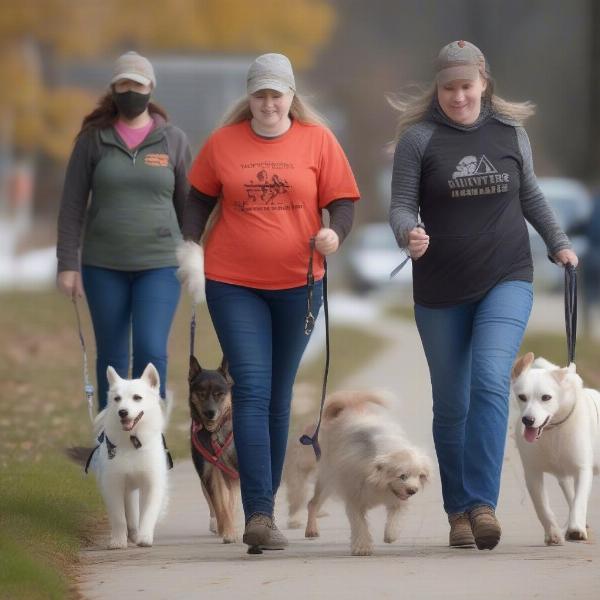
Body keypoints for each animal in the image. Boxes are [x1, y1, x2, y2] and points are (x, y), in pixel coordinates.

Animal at [91, 364, 172, 552]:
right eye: (117, 398)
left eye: (137, 397)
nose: (122, 412)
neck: (132, 441)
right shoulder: (113, 484)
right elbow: (119, 517)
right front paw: (118, 541)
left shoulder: (152, 483)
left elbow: (148, 513)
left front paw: (145, 537)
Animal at [190, 356, 241, 544]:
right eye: (201, 393)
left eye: (219, 394)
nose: (210, 412)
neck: (215, 433)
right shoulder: (211, 471)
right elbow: (221, 504)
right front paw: (228, 532)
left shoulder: (235, 471)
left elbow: (231, 502)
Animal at [302, 392, 434, 556]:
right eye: (402, 476)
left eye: (419, 476)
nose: (412, 490)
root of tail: (350, 406)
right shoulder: (354, 497)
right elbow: (360, 525)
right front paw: (362, 548)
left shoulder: (396, 500)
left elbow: (396, 516)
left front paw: (390, 534)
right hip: (328, 480)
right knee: (313, 504)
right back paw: (311, 529)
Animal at [510, 354, 600, 548]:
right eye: (522, 397)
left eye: (546, 397)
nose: (528, 420)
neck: (553, 431)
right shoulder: (532, 473)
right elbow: (541, 506)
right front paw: (553, 533)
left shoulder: (582, 469)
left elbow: (580, 501)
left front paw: (576, 529)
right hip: (563, 477)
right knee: (569, 494)